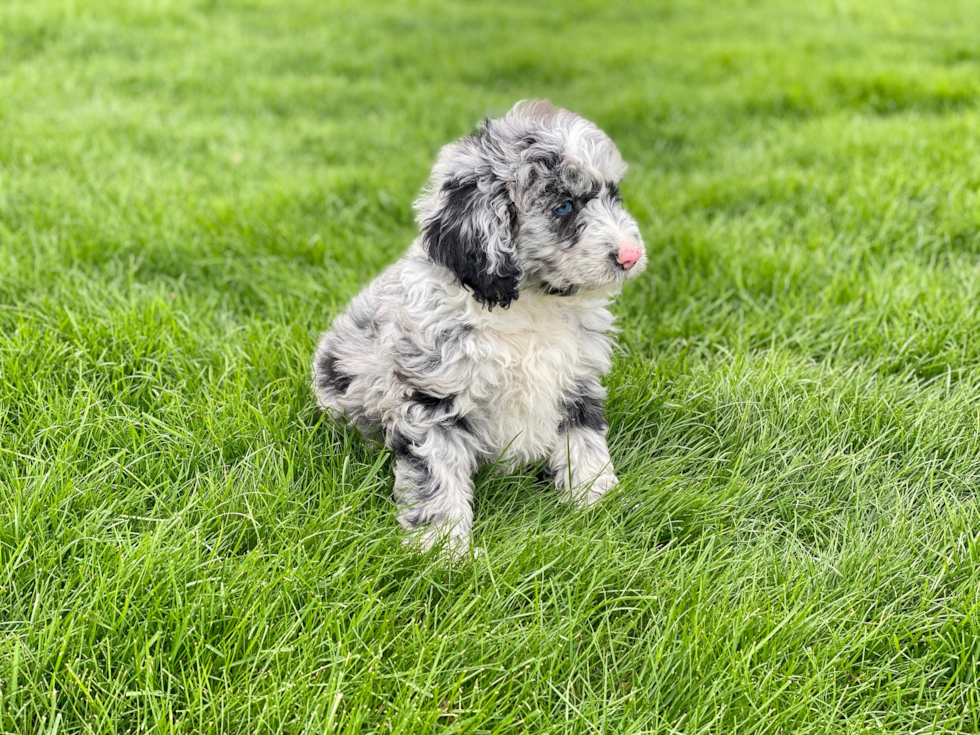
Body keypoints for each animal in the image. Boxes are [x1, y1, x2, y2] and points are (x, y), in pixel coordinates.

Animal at [314, 99, 648, 556]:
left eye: (614, 195)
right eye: (563, 206)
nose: (631, 256)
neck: (530, 305)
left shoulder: (576, 382)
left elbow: (584, 443)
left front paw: (598, 502)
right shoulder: (431, 398)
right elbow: (437, 474)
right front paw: (443, 550)